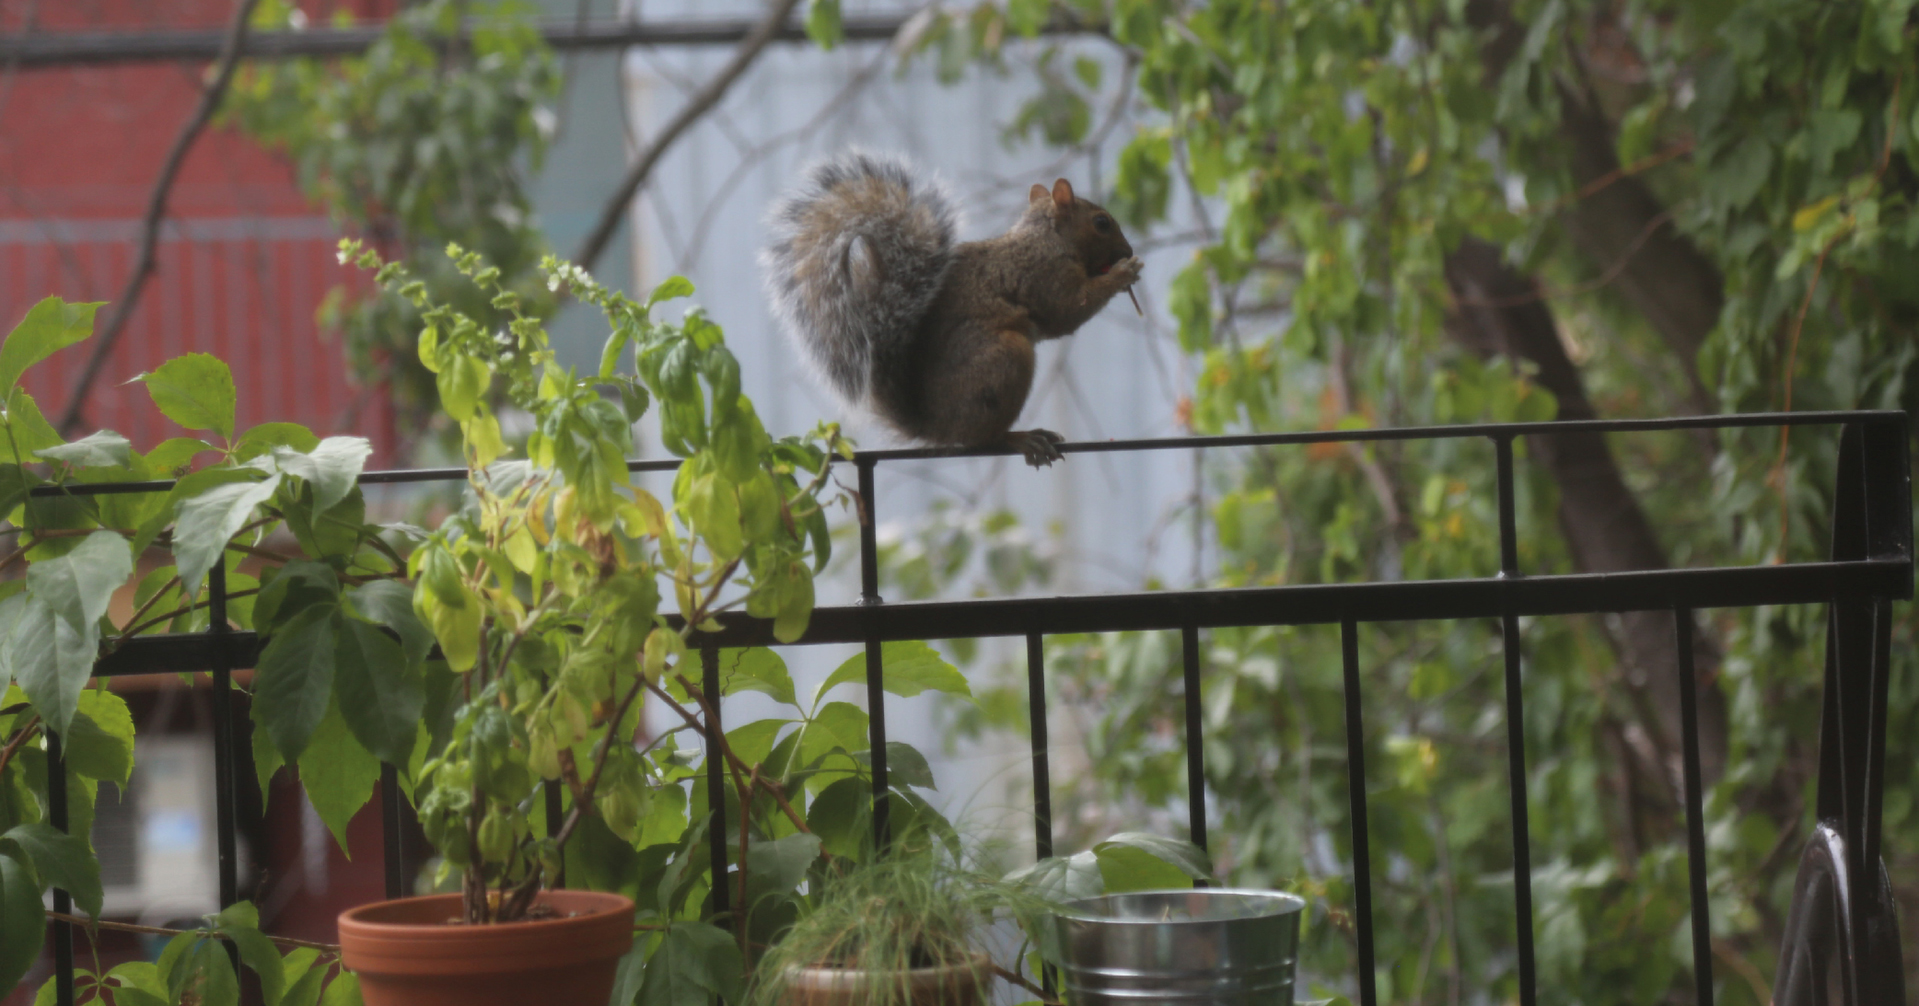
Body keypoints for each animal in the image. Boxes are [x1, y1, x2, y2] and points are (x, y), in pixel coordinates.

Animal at [759, 152, 1136, 468]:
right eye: (1102, 222)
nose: (1128, 250)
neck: (1048, 237)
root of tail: (934, 427)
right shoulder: (1043, 274)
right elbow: (1068, 310)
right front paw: (1123, 274)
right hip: (1005, 359)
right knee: (982, 439)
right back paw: (1021, 438)